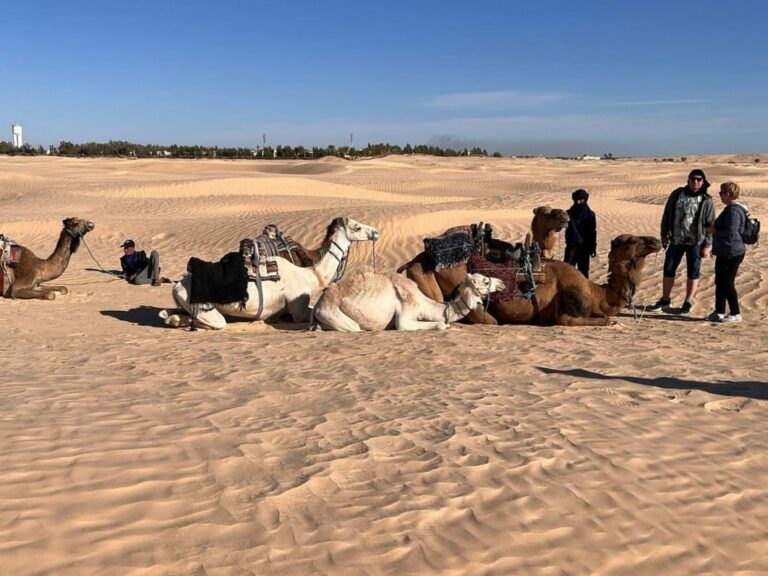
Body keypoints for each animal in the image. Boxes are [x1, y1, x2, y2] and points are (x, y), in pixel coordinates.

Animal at [162, 216, 378, 328]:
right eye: (357, 227)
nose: (375, 232)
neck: (311, 276)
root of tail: (178, 284)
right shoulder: (298, 308)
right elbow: (306, 314)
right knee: (215, 322)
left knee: (170, 315)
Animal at [310, 268, 504, 330]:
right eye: (486, 281)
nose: (502, 283)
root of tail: (319, 303)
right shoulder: (405, 317)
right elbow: (441, 324)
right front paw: (443, 325)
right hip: (332, 313)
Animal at [488, 233, 664, 324]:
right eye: (633, 240)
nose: (656, 241)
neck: (596, 294)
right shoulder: (568, 307)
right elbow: (569, 320)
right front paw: (609, 321)